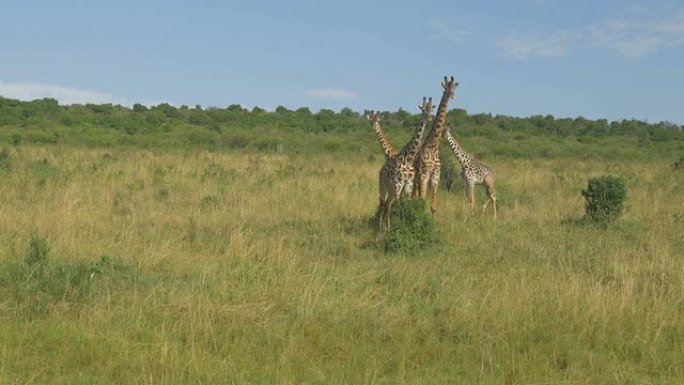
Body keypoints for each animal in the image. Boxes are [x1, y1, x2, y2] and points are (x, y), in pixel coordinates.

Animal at [368, 97, 432, 232]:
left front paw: (405, 226)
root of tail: (380, 171)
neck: (407, 158)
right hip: (384, 187)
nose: (429, 117)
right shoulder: (398, 185)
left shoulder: (407, 185)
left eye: (431, 109)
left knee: (387, 205)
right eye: (423, 109)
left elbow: (405, 204)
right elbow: (398, 206)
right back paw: (381, 227)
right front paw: (397, 228)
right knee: (383, 204)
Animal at [412, 76, 460, 218]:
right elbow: (422, 200)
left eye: (454, 87)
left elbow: (433, 206)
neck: (433, 145)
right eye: (445, 88)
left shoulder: (436, 175)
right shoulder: (425, 173)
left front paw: (434, 222)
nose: (452, 95)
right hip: (416, 176)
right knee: (414, 195)